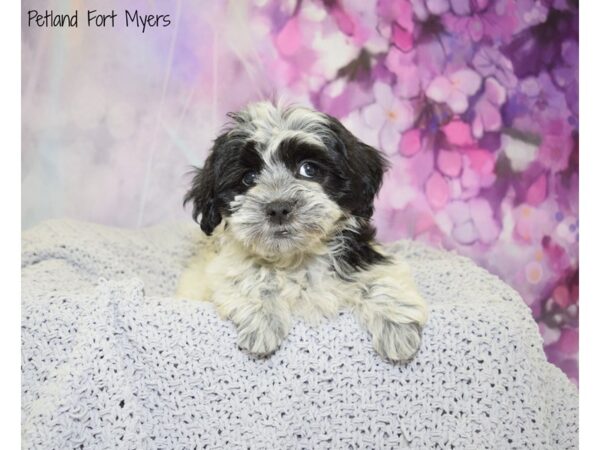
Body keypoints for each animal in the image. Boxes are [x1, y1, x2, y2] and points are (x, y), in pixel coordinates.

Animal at [177, 101, 426, 362]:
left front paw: (397, 329)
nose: (278, 208)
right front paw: (263, 322)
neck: (296, 258)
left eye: (308, 169)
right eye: (249, 177)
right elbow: (250, 277)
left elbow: (380, 278)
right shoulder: (221, 269)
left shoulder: (365, 257)